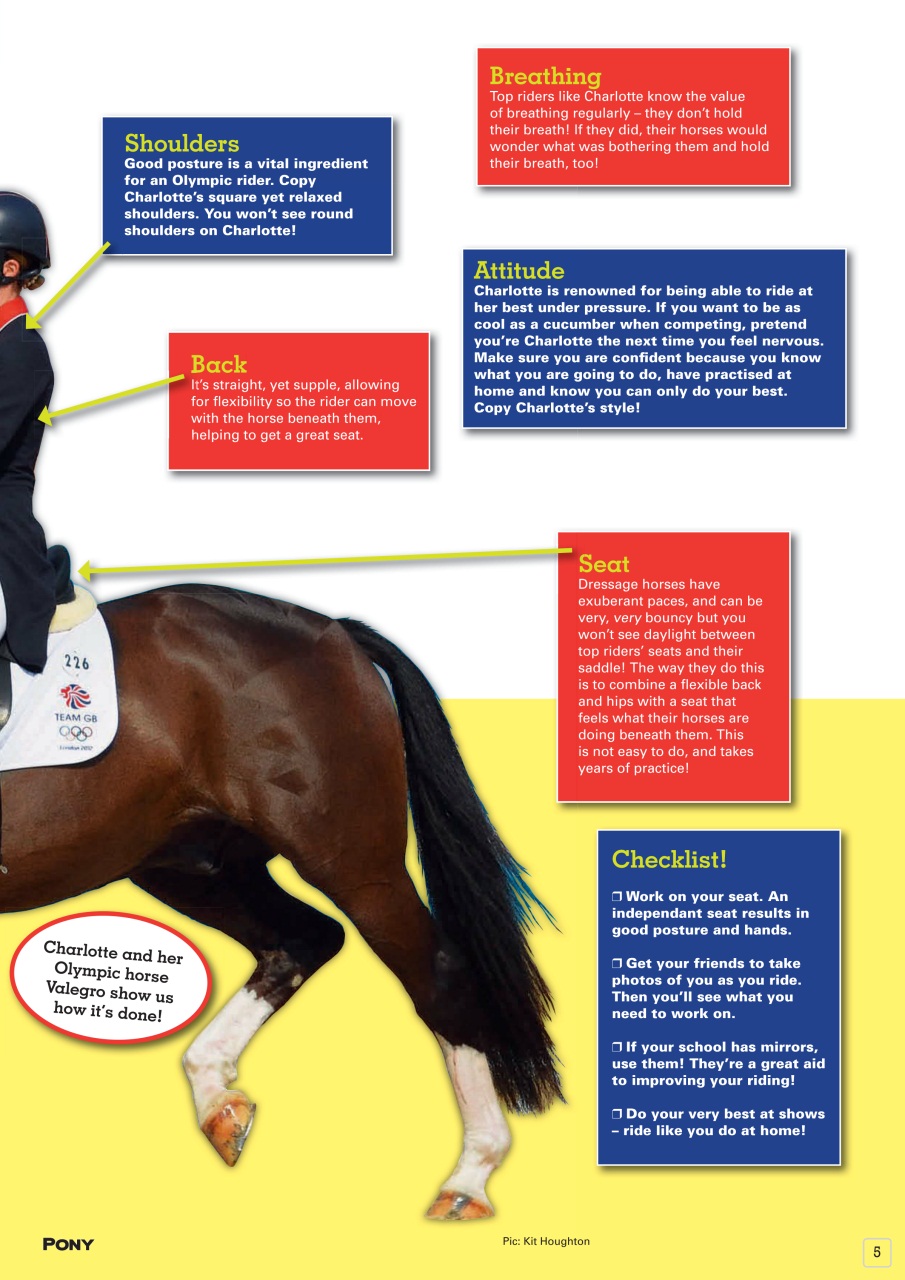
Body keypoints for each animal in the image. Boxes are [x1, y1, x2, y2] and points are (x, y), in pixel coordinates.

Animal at [0, 583, 561, 1220]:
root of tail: (332, 630)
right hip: (195, 864)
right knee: (303, 939)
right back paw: (217, 1100)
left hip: (350, 862)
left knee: (435, 970)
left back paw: (469, 1178)